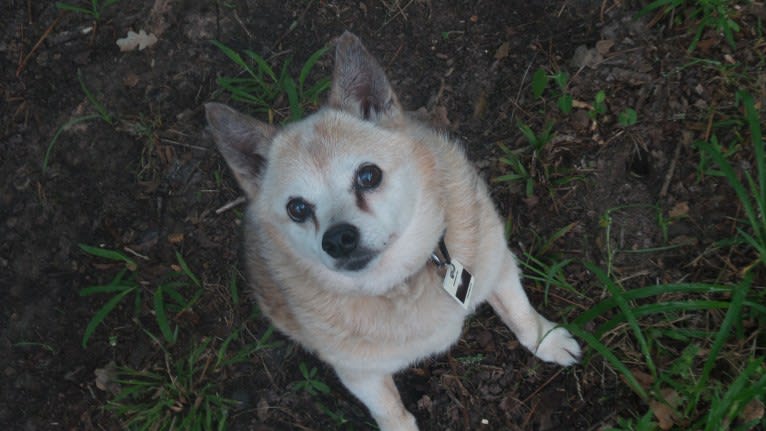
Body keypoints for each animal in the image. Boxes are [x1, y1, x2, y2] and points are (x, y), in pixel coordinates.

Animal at [206, 31, 584, 431]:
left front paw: (546, 340)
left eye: (368, 175)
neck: (403, 280)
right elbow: (389, 409)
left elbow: (521, 313)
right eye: (297, 209)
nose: (338, 239)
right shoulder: (360, 374)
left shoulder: (497, 264)